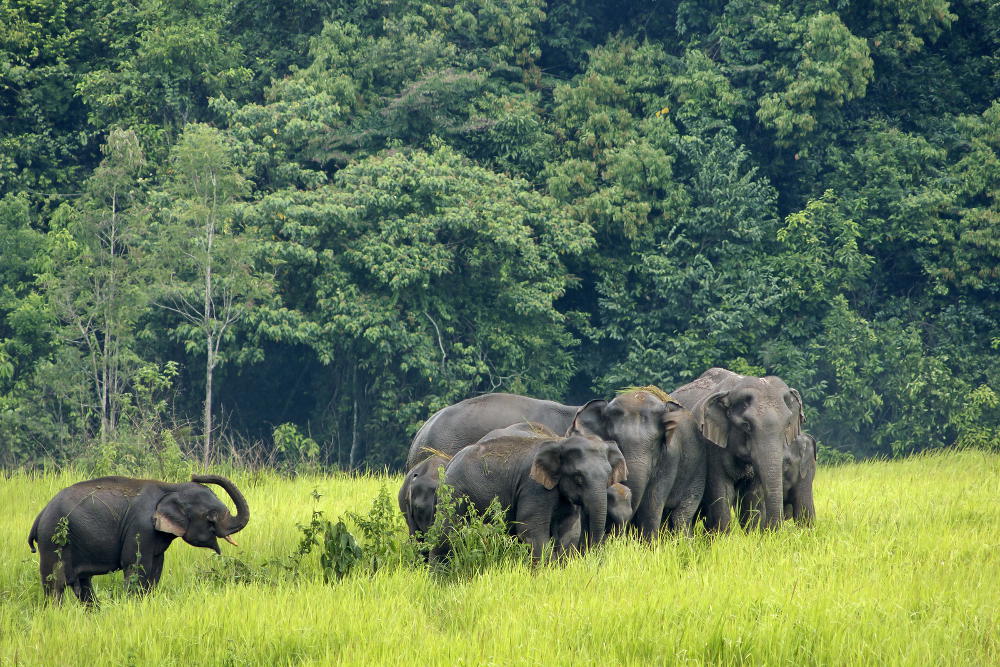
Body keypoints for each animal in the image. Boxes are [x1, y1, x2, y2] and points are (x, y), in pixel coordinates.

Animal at [27, 472, 250, 608]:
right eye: (211, 518)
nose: (195, 474)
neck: (171, 487)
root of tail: (40, 515)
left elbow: (156, 568)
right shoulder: (141, 527)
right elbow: (135, 565)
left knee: (83, 583)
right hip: (52, 540)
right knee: (55, 583)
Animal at [438, 422, 624, 560]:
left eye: (608, 476)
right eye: (578, 477)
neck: (560, 442)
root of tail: (449, 463)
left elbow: (569, 530)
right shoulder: (533, 487)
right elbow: (531, 530)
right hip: (454, 493)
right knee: (447, 534)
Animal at [668, 366, 808, 532]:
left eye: (787, 425)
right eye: (746, 425)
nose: (770, 530)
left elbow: (752, 497)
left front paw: (752, 533)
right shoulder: (712, 446)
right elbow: (722, 492)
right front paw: (722, 537)